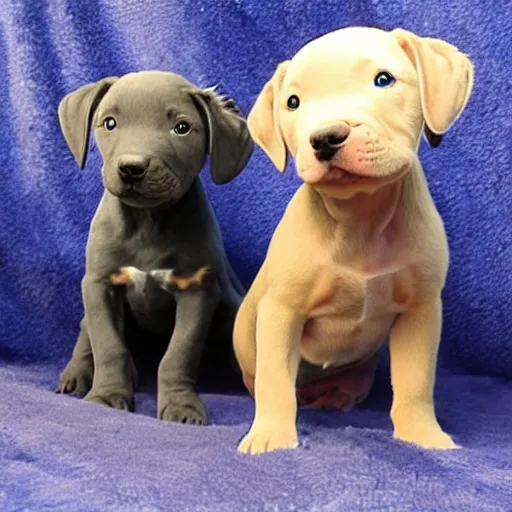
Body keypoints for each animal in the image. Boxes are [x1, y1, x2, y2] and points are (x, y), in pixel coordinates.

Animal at [56, 72, 254, 424]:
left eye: (182, 128)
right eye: (109, 123)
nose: (132, 167)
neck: (147, 222)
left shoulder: (197, 291)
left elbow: (179, 353)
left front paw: (181, 406)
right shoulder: (99, 285)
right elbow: (108, 345)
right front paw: (107, 396)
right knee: (86, 331)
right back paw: (76, 375)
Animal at [234, 26, 474, 454]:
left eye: (383, 80)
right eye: (293, 102)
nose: (326, 137)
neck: (360, 219)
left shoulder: (421, 310)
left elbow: (415, 381)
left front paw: (421, 435)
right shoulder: (281, 310)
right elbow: (274, 379)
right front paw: (271, 435)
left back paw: (341, 395)